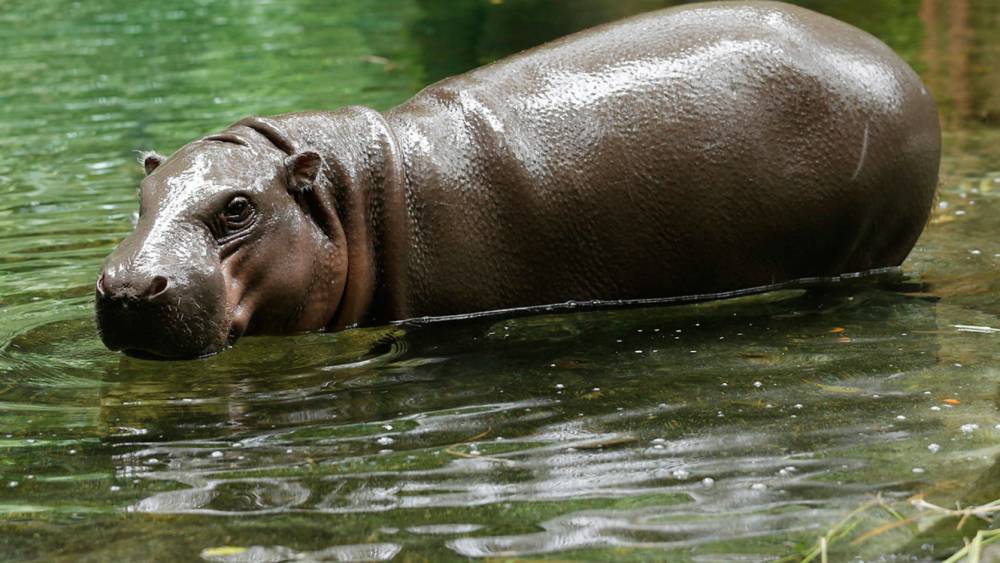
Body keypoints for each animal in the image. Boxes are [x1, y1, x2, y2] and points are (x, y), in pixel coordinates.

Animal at [95, 1, 940, 359]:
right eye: (140, 198)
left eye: (238, 207)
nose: (128, 286)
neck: (352, 190)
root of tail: (904, 69)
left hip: (865, 249)